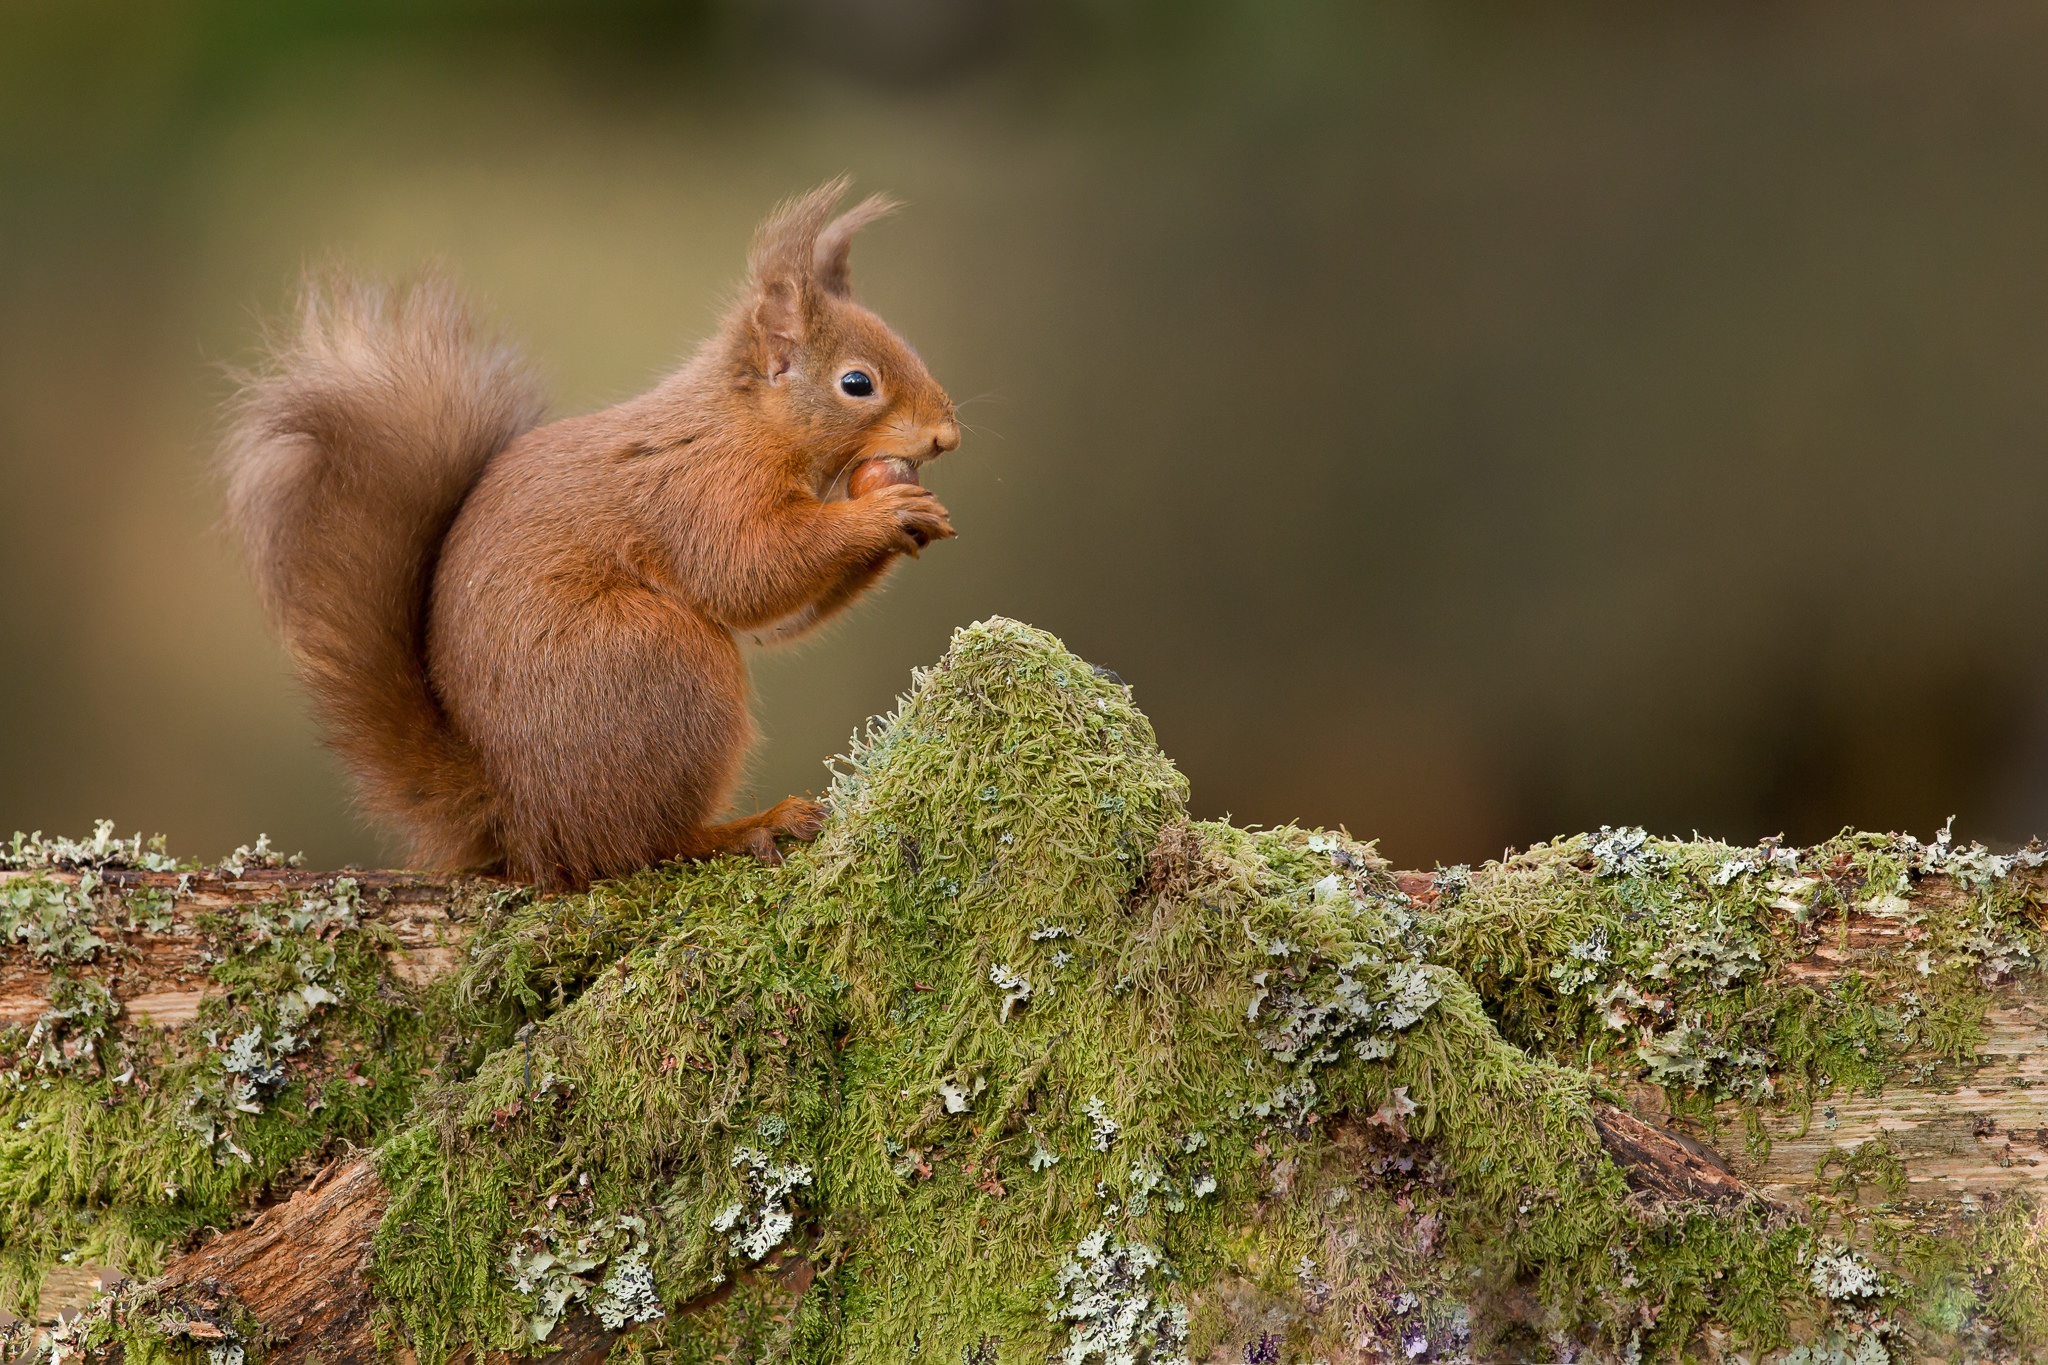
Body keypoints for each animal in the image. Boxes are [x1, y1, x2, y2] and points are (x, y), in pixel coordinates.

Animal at [224, 179, 958, 888]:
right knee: (641, 845)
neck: (745, 422)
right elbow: (747, 572)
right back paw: (744, 827)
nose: (946, 436)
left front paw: (915, 519)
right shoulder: (700, 490)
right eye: (856, 383)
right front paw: (880, 515)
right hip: (662, 665)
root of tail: (520, 821)